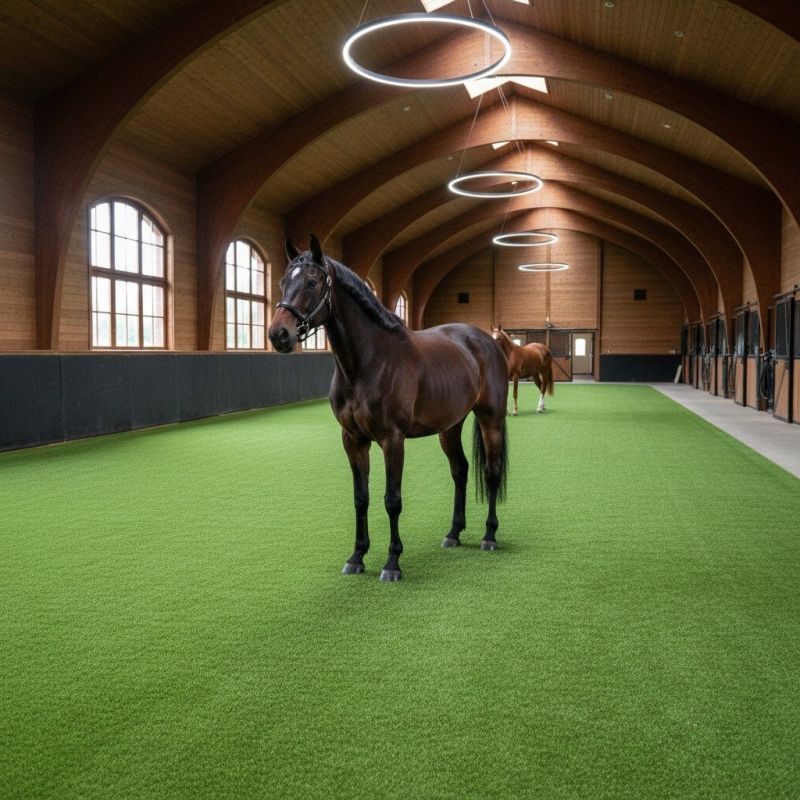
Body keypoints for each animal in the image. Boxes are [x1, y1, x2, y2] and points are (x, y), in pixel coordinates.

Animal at [268, 235, 509, 582]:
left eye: (312, 282)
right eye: (282, 282)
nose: (279, 334)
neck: (370, 361)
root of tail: (485, 339)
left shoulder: (392, 440)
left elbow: (392, 500)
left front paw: (392, 563)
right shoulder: (353, 440)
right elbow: (361, 498)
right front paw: (357, 557)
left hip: (490, 419)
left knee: (491, 473)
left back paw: (489, 536)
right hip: (450, 426)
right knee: (460, 470)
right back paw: (453, 533)